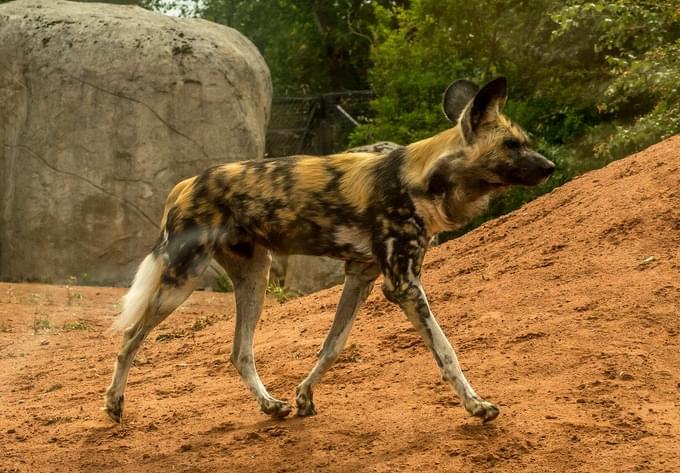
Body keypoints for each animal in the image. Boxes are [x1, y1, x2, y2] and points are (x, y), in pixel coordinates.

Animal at [105, 77, 552, 424]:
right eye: (511, 145)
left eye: (525, 142)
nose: (549, 167)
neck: (425, 177)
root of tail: (189, 182)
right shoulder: (403, 286)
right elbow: (446, 351)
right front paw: (477, 406)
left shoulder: (362, 276)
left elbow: (332, 346)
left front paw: (304, 397)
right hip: (182, 280)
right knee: (129, 337)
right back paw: (114, 406)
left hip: (255, 277)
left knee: (239, 352)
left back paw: (271, 406)